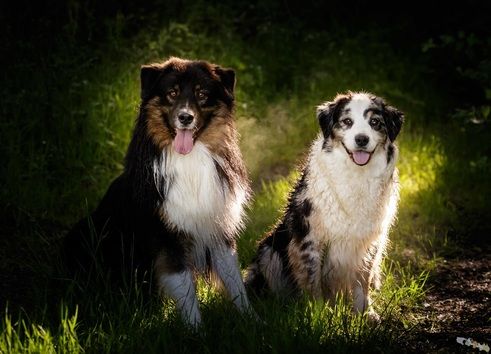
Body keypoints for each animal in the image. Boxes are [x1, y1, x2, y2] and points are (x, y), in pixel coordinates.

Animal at [65, 57, 254, 326]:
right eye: (172, 93)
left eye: (202, 94)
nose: (185, 117)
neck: (190, 160)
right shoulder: (166, 238)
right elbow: (186, 289)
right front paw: (196, 331)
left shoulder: (219, 229)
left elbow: (234, 280)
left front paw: (253, 321)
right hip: (80, 234)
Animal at [246, 91, 404, 320]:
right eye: (347, 121)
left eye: (375, 122)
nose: (361, 139)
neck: (355, 174)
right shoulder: (309, 238)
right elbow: (312, 280)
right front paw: (318, 315)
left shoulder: (369, 241)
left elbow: (362, 281)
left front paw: (364, 314)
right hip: (269, 249)